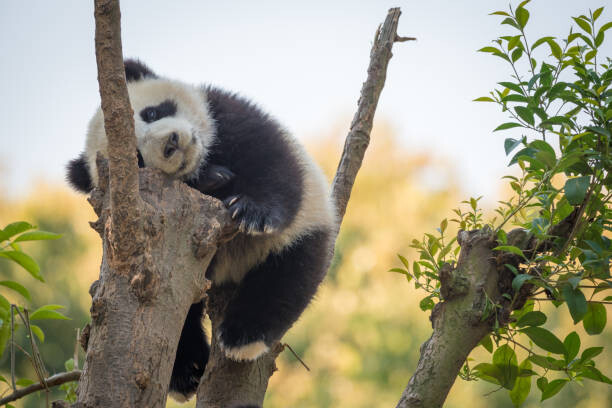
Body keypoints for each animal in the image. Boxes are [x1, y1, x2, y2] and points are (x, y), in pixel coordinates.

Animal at [68, 59, 338, 402]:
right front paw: (213, 178)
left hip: (305, 227)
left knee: (289, 272)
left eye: (151, 113)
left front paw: (252, 211)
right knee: (184, 314)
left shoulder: (226, 113)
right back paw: (190, 372)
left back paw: (241, 337)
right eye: (138, 159)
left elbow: (272, 163)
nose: (171, 143)